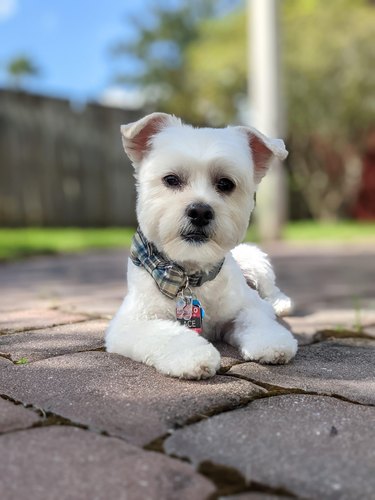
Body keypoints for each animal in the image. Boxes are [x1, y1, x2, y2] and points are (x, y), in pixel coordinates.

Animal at [105, 113, 296, 378]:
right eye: (171, 179)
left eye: (225, 183)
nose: (200, 211)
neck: (190, 275)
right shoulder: (131, 322)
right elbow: (167, 334)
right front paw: (193, 355)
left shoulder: (249, 304)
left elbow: (255, 316)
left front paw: (271, 342)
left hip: (253, 259)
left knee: (271, 291)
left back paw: (281, 304)